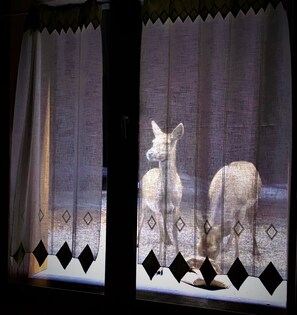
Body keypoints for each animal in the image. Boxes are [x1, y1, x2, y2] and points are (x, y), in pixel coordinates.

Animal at [138, 119, 184, 268]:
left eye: (168, 142)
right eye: (153, 141)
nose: (149, 153)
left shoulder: (177, 206)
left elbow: (175, 232)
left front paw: (177, 253)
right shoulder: (157, 208)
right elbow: (160, 234)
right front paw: (160, 257)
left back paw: (168, 242)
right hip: (144, 202)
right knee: (141, 221)